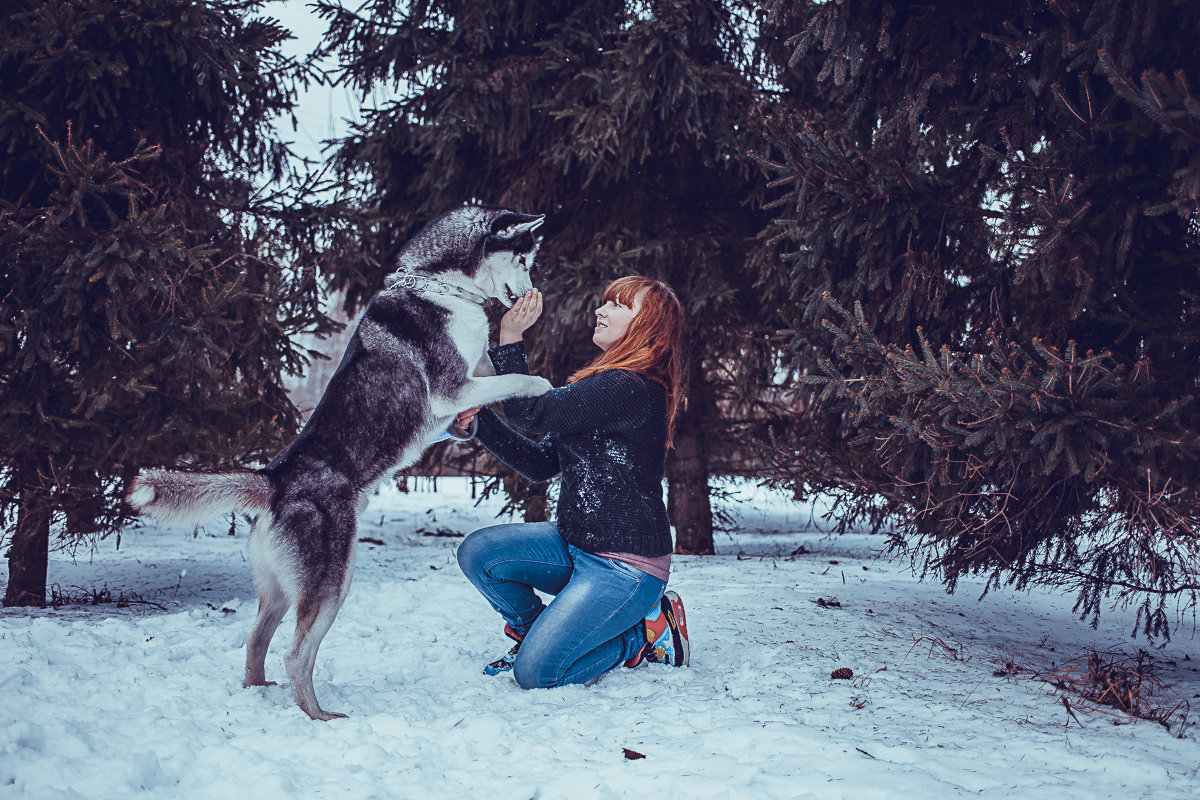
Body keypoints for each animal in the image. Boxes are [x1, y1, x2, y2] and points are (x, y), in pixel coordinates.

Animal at [129, 205, 549, 719]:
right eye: (524, 259)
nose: (530, 294)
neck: (437, 285)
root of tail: (275, 480)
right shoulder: (455, 388)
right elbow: (514, 379)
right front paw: (544, 385)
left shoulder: (461, 397)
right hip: (334, 582)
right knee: (296, 654)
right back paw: (320, 716)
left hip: (280, 589)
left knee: (255, 640)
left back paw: (260, 693)